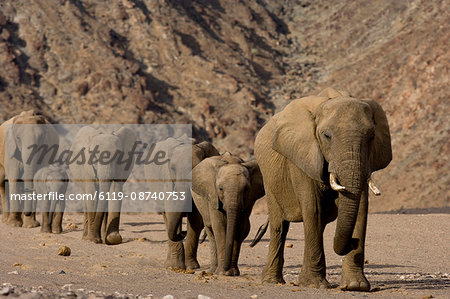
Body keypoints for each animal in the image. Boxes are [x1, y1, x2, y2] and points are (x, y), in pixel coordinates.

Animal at [144, 137, 218, 270]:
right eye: (173, 169)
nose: (183, 233)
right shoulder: (167, 179)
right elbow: (170, 212)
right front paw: (177, 267)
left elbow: (195, 218)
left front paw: (191, 267)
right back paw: (169, 264)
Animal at [255, 88, 392, 290]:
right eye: (327, 136)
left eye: (371, 137)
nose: (353, 242)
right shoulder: (302, 157)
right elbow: (314, 209)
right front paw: (315, 285)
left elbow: (360, 209)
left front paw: (355, 286)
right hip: (269, 179)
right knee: (280, 226)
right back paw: (272, 281)